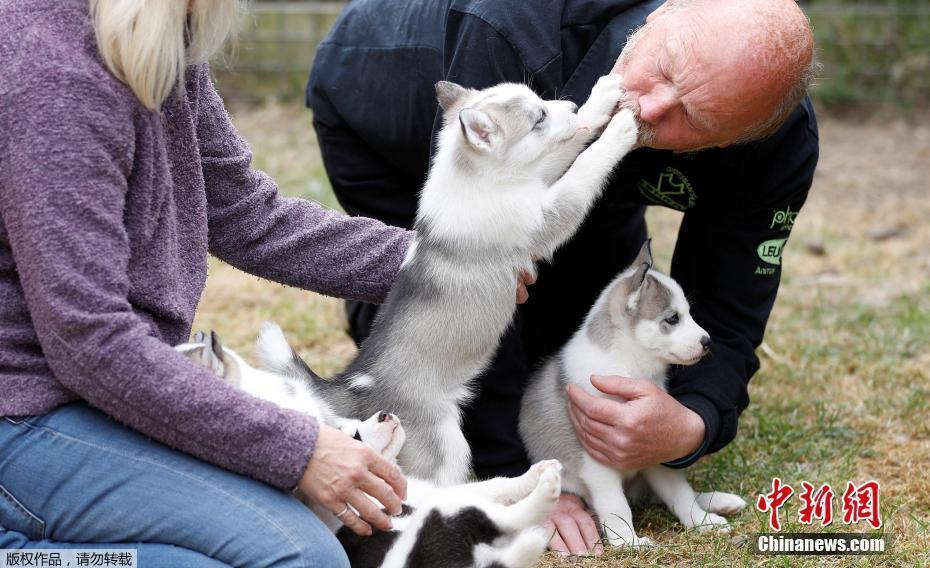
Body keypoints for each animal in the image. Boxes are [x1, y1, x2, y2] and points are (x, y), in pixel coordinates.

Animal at [179, 330, 560, 568]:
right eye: (352, 437)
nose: (386, 414)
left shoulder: (438, 490)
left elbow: (496, 485)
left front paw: (532, 473)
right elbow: (491, 496)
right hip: (442, 520)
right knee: (504, 519)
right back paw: (545, 499)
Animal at [260, 75, 640, 486]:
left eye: (544, 103)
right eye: (538, 117)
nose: (569, 107)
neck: (473, 176)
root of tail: (354, 383)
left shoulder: (537, 178)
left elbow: (569, 149)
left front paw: (600, 100)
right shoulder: (549, 214)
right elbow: (585, 167)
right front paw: (619, 131)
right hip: (445, 446)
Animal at [520, 242, 744, 548]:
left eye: (689, 313)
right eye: (672, 318)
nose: (707, 341)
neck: (627, 365)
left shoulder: (653, 446)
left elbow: (680, 493)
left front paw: (701, 522)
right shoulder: (597, 462)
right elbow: (617, 507)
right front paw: (628, 542)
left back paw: (719, 502)